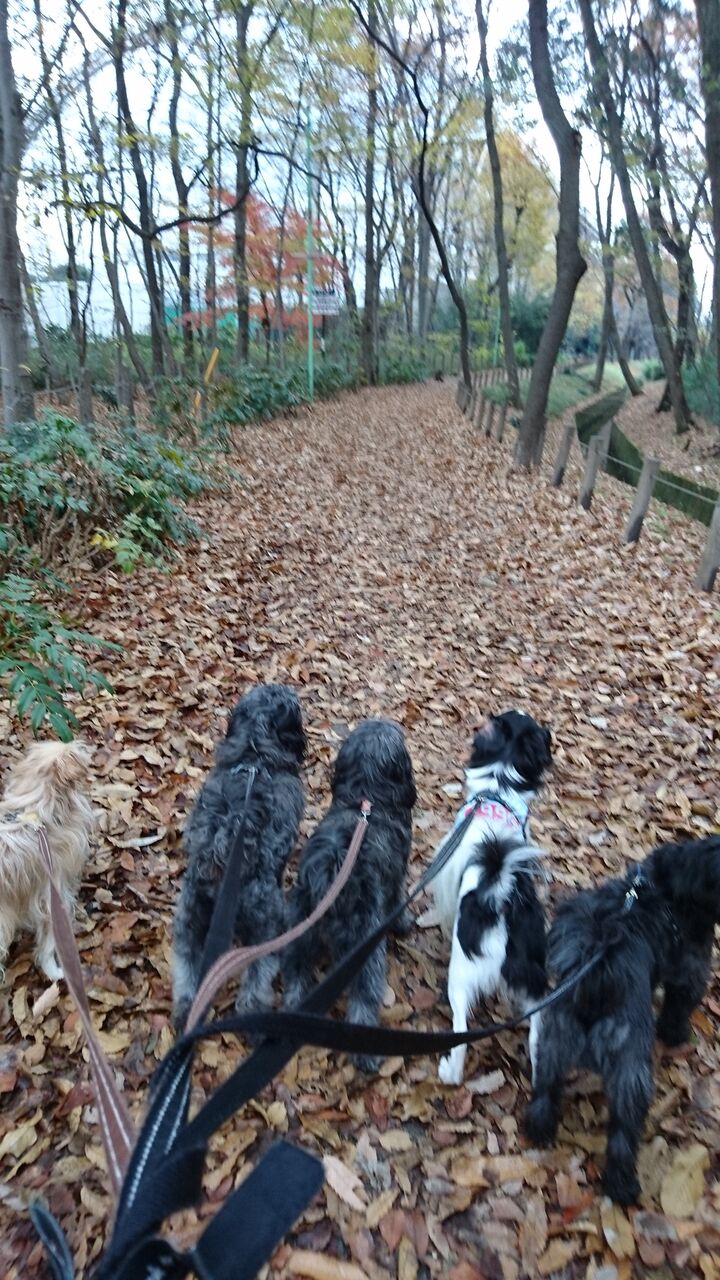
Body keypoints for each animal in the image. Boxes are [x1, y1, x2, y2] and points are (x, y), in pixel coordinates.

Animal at [172, 684, 306, 1029]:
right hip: (265, 923)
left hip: (190, 920)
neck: (254, 755)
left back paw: (185, 1011)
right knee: (257, 980)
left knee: (186, 969)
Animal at [282, 719, 416, 1072]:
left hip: (301, 931)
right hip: (365, 946)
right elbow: (398, 899)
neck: (367, 798)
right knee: (364, 997)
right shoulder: (396, 877)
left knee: (296, 976)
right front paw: (405, 923)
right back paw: (366, 1055)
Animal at [431, 711, 552, 1085]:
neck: (498, 790)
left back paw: (450, 1072)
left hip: (460, 976)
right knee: (538, 1037)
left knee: (460, 1032)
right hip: (535, 984)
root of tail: (501, 900)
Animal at [524, 836, 720, 1205]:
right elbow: (679, 1004)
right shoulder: (691, 967)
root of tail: (597, 977)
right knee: (622, 1135)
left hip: (554, 1041)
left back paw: (539, 1130)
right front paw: (676, 1034)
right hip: (632, 1072)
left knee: (545, 1088)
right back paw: (621, 1184)